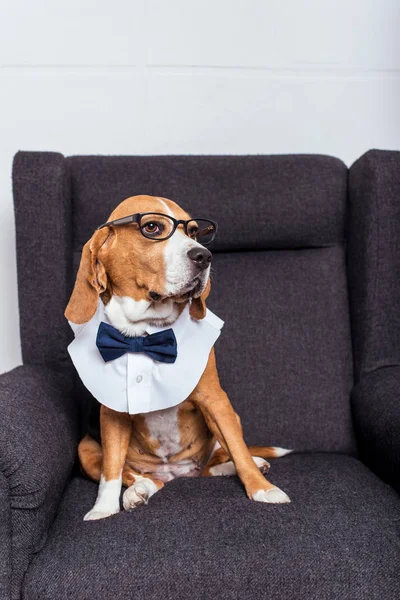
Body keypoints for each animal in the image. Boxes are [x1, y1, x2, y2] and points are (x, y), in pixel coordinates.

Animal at [65, 193, 290, 520]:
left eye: (195, 232)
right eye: (153, 227)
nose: (204, 256)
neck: (146, 333)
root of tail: (176, 474)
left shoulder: (215, 400)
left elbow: (238, 449)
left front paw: (263, 489)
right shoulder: (111, 413)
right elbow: (111, 471)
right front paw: (104, 509)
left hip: (228, 417)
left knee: (217, 461)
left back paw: (248, 465)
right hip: (85, 448)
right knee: (144, 478)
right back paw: (138, 490)